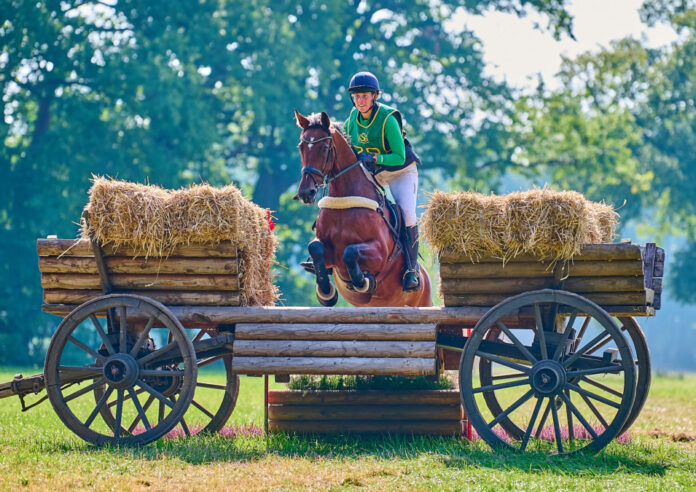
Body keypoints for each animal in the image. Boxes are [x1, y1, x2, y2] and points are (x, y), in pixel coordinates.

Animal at [292, 109, 430, 306]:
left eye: (325, 148)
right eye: (300, 147)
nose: (306, 192)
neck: (344, 198)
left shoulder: (379, 253)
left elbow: (350, 252)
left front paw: (363, 281)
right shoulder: (328, 251)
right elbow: (315, 248)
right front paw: (326, 292)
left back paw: (411, 278)